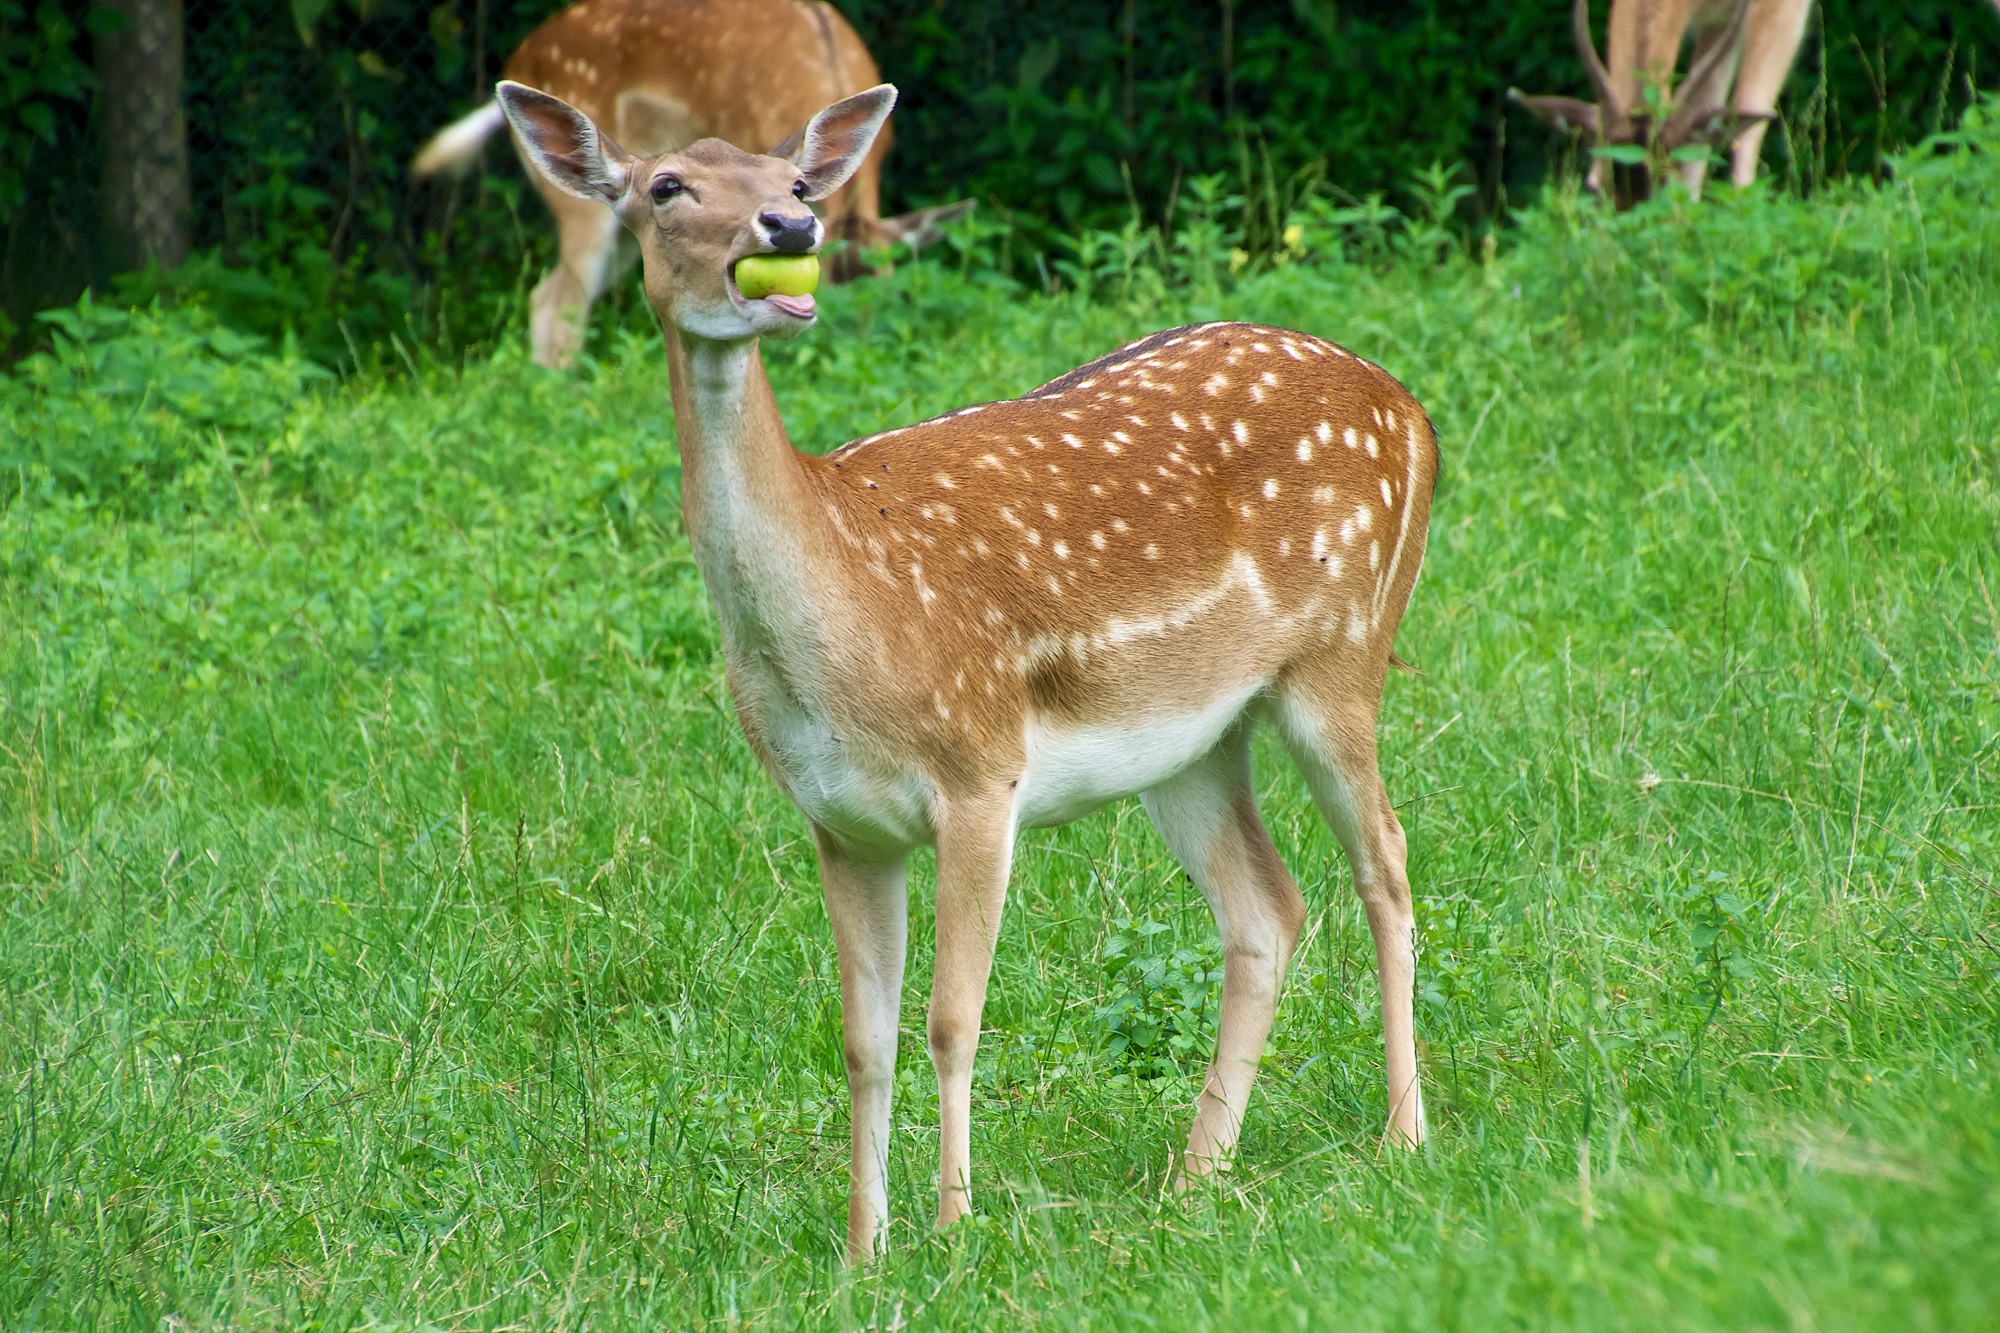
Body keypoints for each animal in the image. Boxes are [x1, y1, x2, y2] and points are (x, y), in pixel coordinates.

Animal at [494, 78, 1448, 1264]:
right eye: (665, 185)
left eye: (796, 179)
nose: (789, 230)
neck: (843, 629)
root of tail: (1412, 413)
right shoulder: (838, 819)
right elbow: (864, 1038)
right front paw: (861, 1251)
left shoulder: (979, 769)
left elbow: (953, 1019)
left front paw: (952, 1228)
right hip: (1188, 741)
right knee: (1266, 908)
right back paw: (1193, 1176)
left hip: (1341, 654)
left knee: (1387, 865)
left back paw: (1401, 1135)